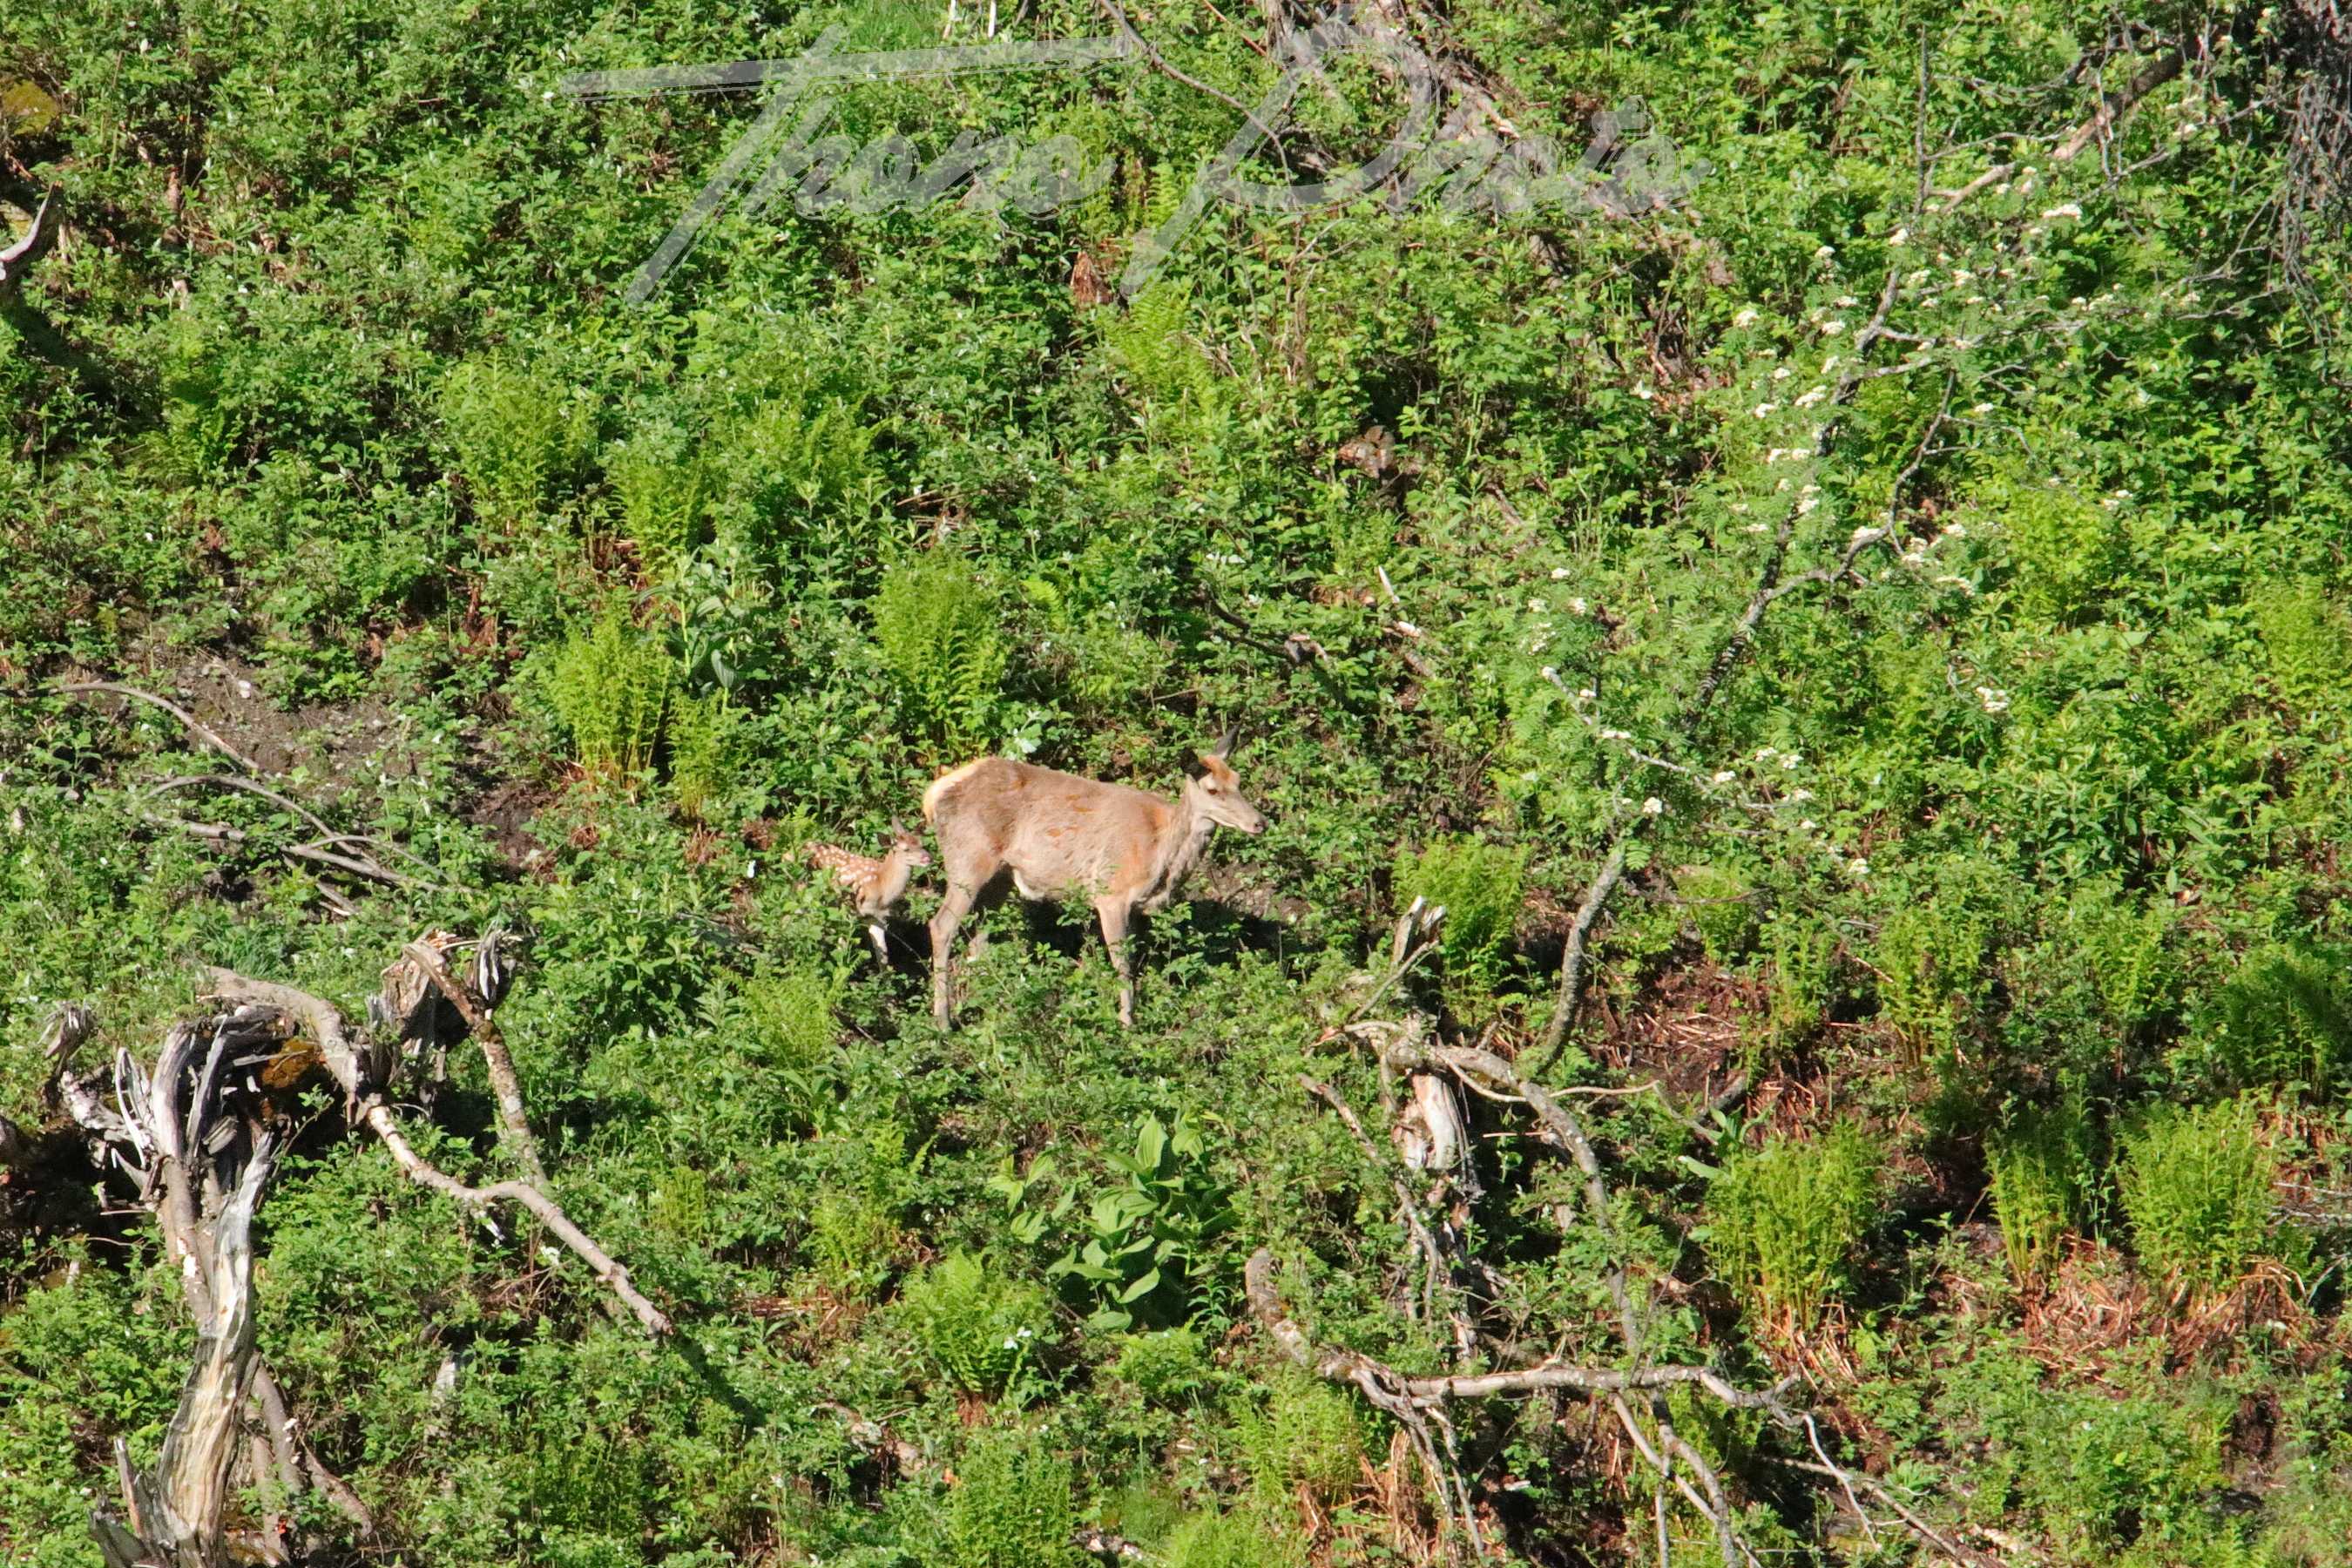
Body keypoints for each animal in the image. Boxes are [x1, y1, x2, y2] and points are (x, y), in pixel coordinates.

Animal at [926, 733, 1279, 1030]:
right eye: (1213, 790)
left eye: (1238, 780)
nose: (1259, 823)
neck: (1160, 852)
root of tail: (932, 796)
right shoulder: (1111, 893)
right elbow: (1122, 963)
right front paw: (1127, 1023)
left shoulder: (1134, 906)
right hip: (968, 859)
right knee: (942, 925)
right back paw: (944, 1021)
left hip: (1000, 877)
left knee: (979, 937)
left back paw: (996, 1008)